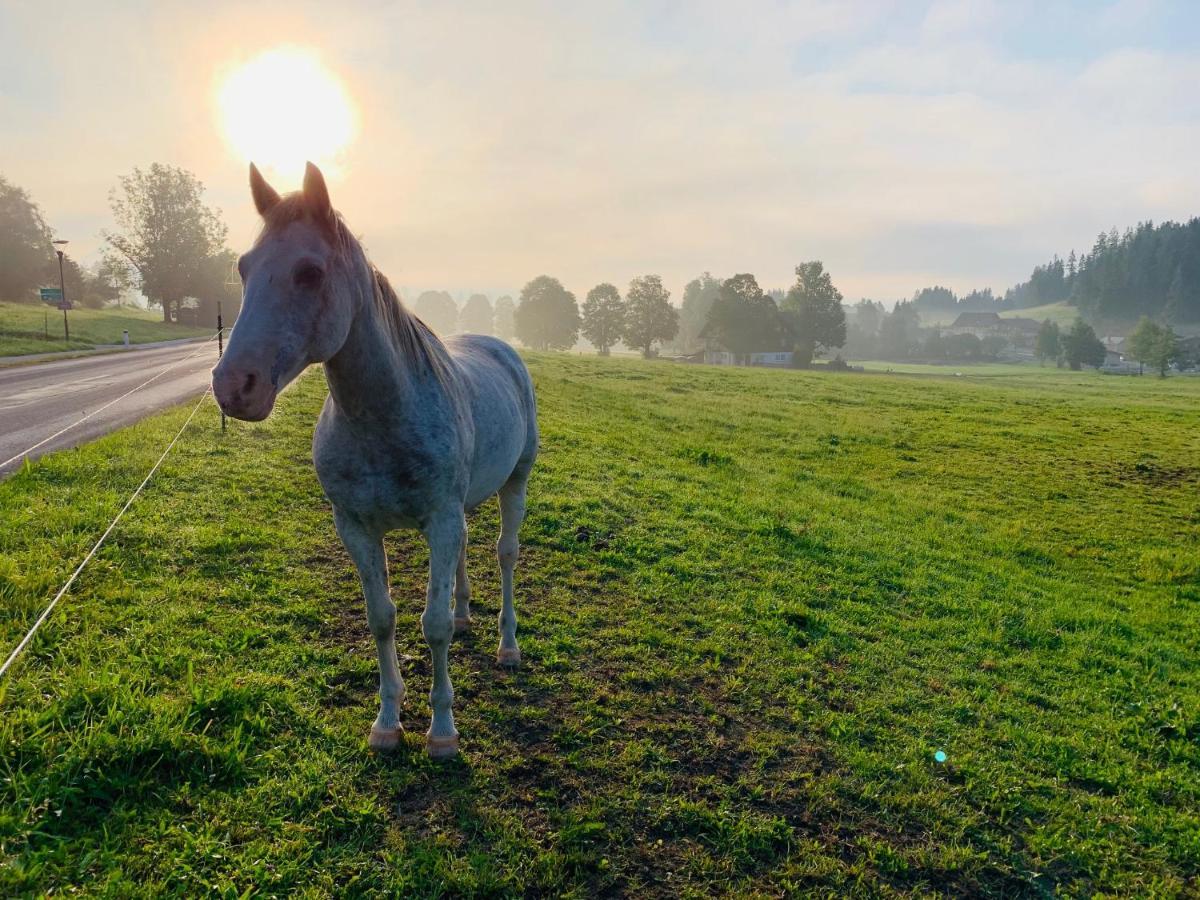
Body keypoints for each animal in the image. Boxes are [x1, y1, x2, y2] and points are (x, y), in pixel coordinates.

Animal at [212, 164, 540, 763]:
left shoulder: (438, 520)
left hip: (516, 484)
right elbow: (382, 618)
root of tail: (500, 347)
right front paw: (388, 722)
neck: (385, 413)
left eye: (310, 271)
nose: (232, 386)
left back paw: (508, 646)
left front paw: (442, 732)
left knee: (506, 555)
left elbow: (431, 625)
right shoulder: (358, 527)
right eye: (244, 267)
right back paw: (467, 615)